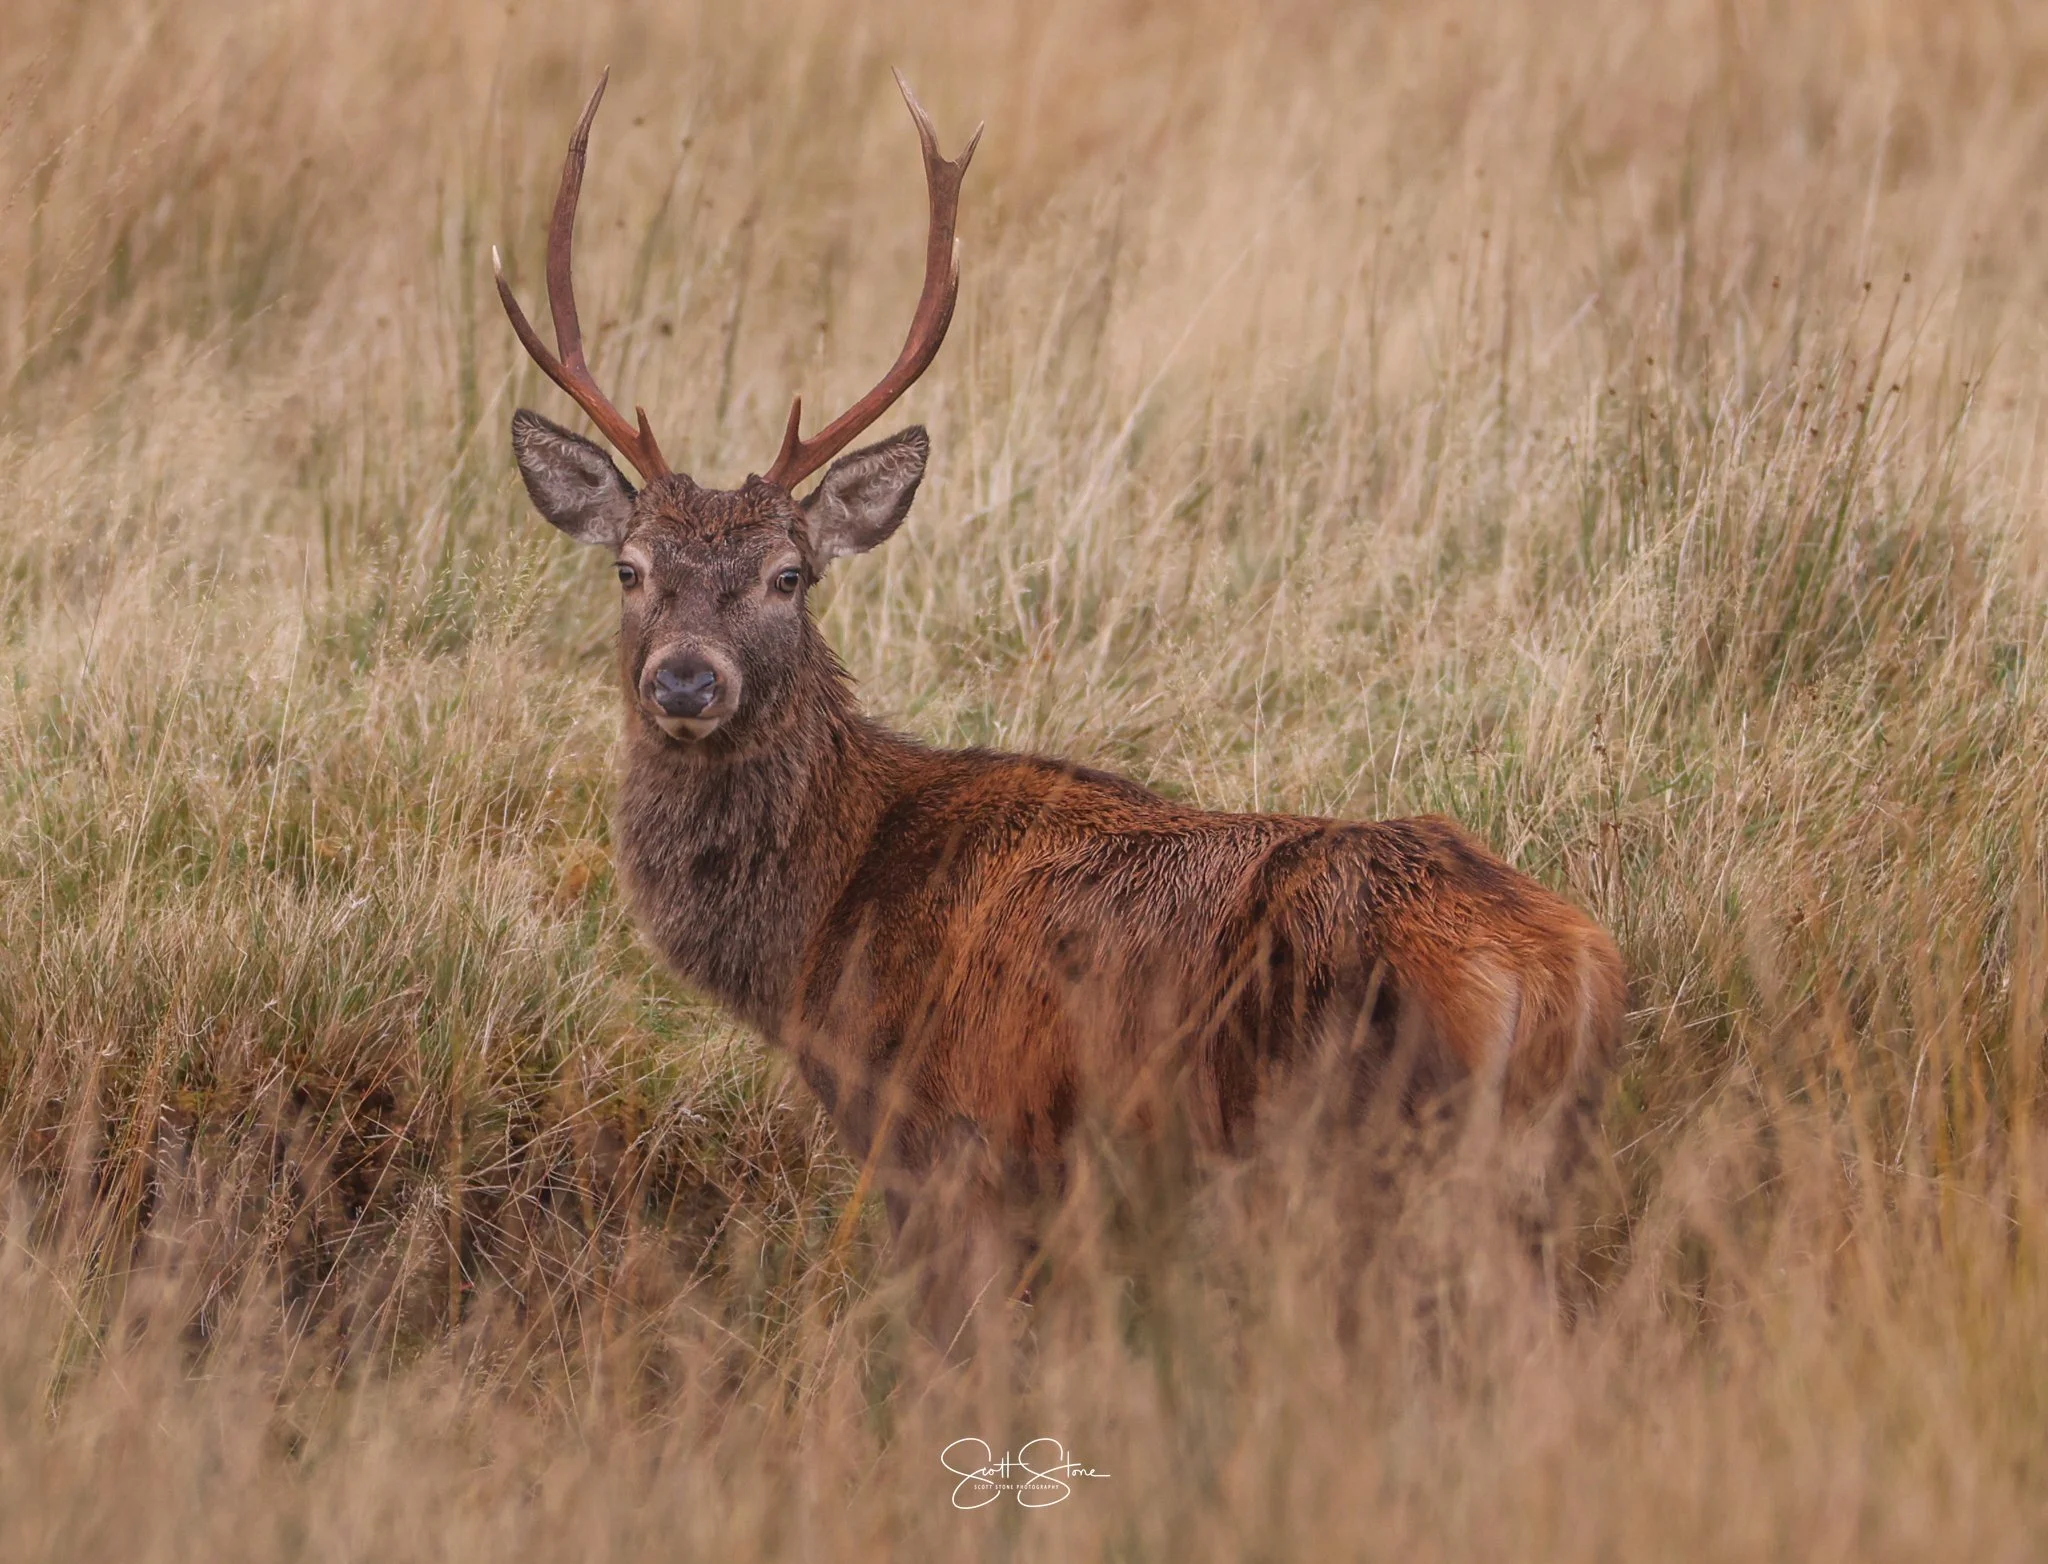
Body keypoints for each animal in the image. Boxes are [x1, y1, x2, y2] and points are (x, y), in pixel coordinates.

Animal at [494, 71, 1626, 1349]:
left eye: (790, 575)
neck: (822, 932)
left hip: (1366, 1159)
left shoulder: (948, 1140)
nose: (686, 680)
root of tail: (1563, 968)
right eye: (629, 567)